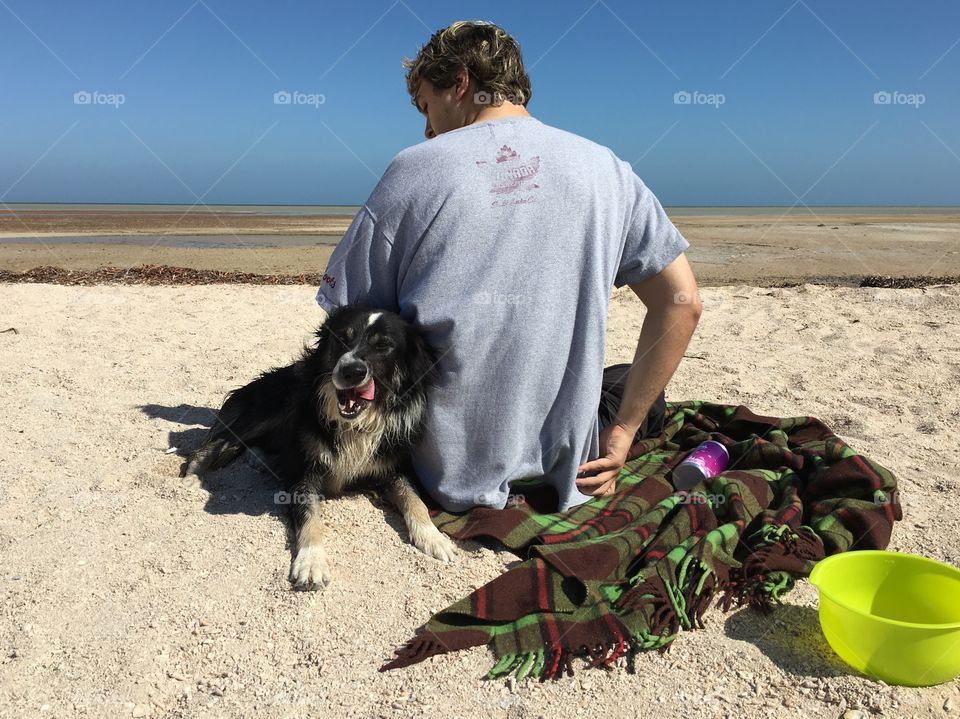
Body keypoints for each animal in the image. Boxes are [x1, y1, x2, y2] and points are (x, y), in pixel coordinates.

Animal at [181, 304, 458, 592]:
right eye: (342, 338)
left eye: (384, 345)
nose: (351, 371)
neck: (353, 425)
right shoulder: (303, 474)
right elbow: (309, 517)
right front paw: (311, 562)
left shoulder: (392, 466)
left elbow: (413, 498)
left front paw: (433, 537)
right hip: (272, 410)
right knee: (221, 441)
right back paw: (193, 476)